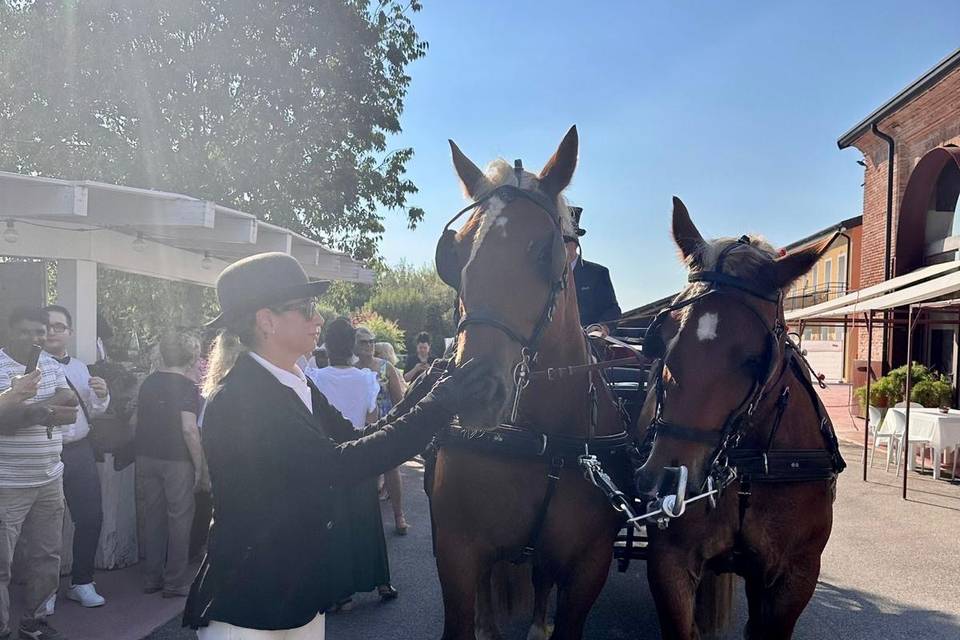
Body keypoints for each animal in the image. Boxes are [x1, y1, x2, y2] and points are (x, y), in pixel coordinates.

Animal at [430, 126, 632, 640]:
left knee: (541, 578)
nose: (474, 387)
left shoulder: (589, 565)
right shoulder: (456, 550)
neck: (538, 440)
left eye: (546, 251)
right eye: (455, 252)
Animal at [636, 198, 848, 636]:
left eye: (755, 358)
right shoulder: (670, 563)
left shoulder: (795, 576)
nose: (667, 478)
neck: (748, 464)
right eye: (660, 338)